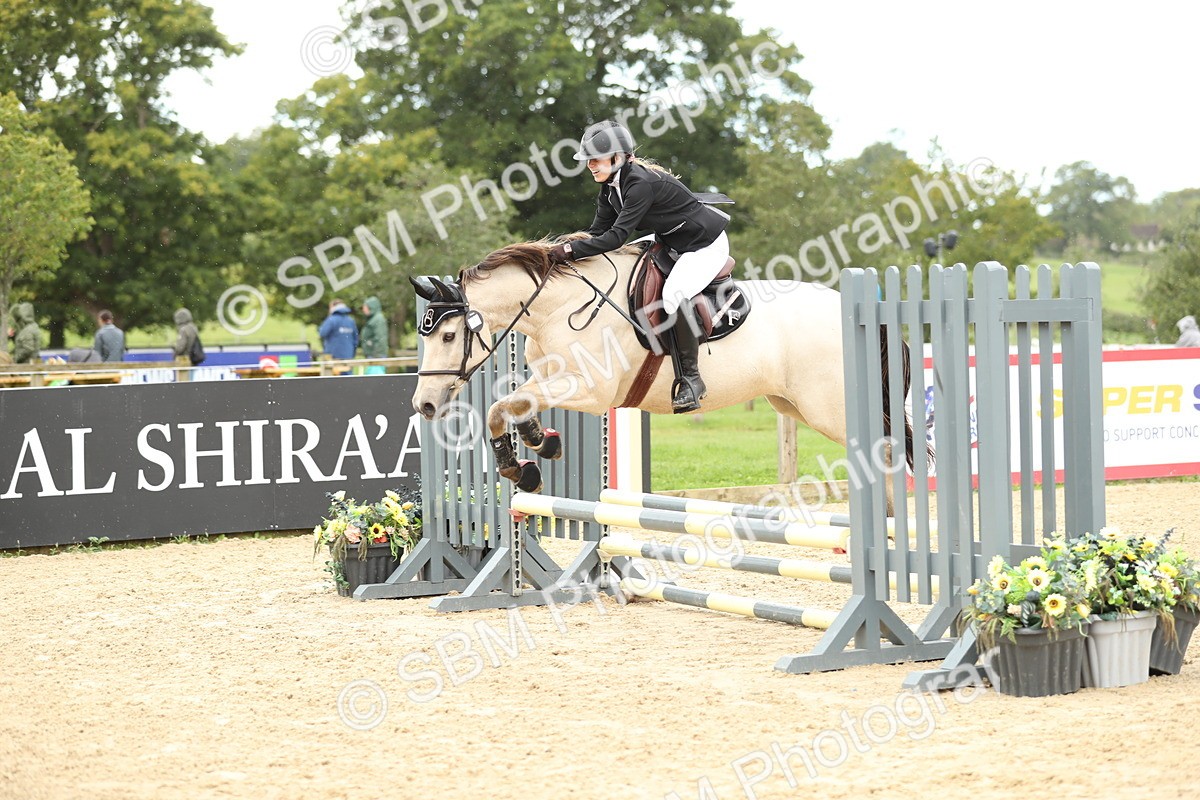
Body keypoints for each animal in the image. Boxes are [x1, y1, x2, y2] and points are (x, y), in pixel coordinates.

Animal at [409, 237, 916, 513]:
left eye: (450, 335)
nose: (425, 405)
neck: (559, 308)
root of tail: (858, 311)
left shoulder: (591, 392)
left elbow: (500, 404)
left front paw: (523, 468)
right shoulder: (554, 380)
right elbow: (516, 402)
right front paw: (539, 446)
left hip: (829, 408)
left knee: (884, 450)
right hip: (793, 405)